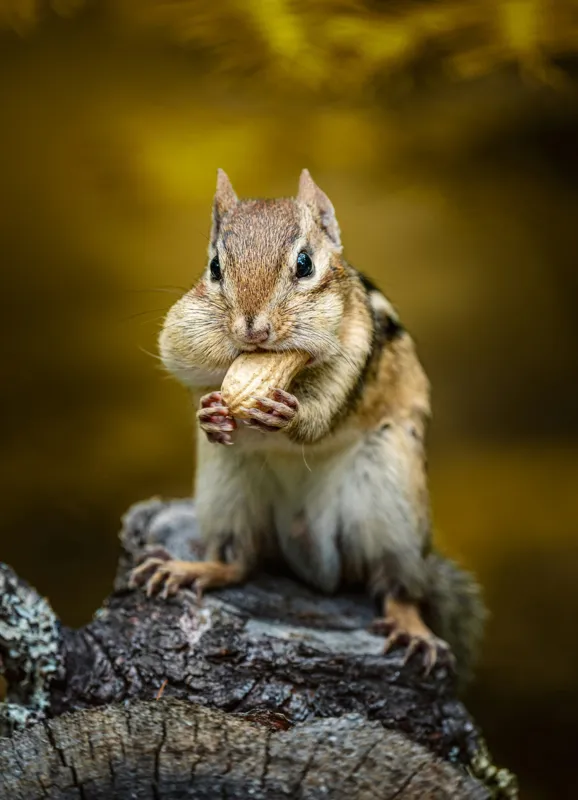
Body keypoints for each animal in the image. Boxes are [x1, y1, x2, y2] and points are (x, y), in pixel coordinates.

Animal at [129, 168, 486, 684]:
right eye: (215, 267)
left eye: (304, 263)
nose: (254, 330)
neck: (282, 368)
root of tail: (309, 552)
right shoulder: (183, 332)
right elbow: (183, 365)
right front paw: (211, 413)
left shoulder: (356, 349)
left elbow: (323, 415)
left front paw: (290, 415)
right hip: (228, 491)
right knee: (240, 562)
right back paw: (191, 569)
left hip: (390, 502)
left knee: (396, 588)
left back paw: (412, 627)